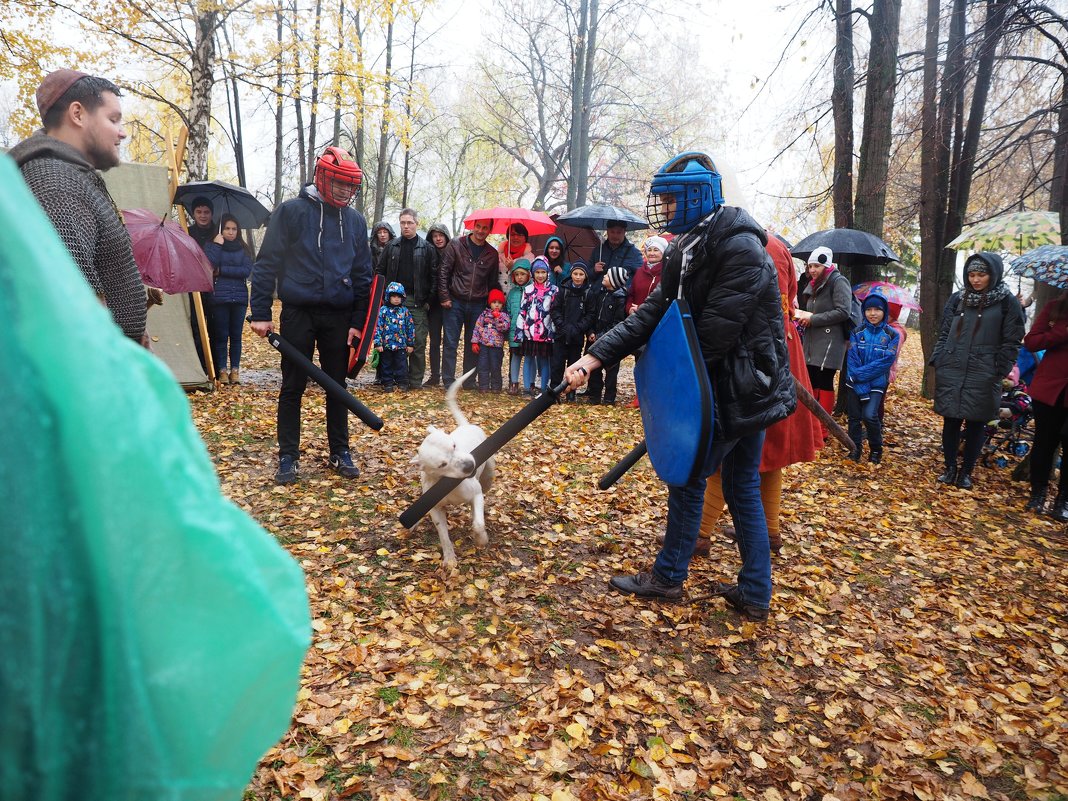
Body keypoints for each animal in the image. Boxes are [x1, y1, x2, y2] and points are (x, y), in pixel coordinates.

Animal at [412, 371, 495, 572]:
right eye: (442, 464)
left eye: (454, 445)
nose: (470, 465)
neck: (447, 483)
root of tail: (466, 425)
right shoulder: (435, 509)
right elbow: (443, 535)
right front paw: (449, 559)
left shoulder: (476, 494)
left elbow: (478, 524)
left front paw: (481, 539)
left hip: (488, 476)